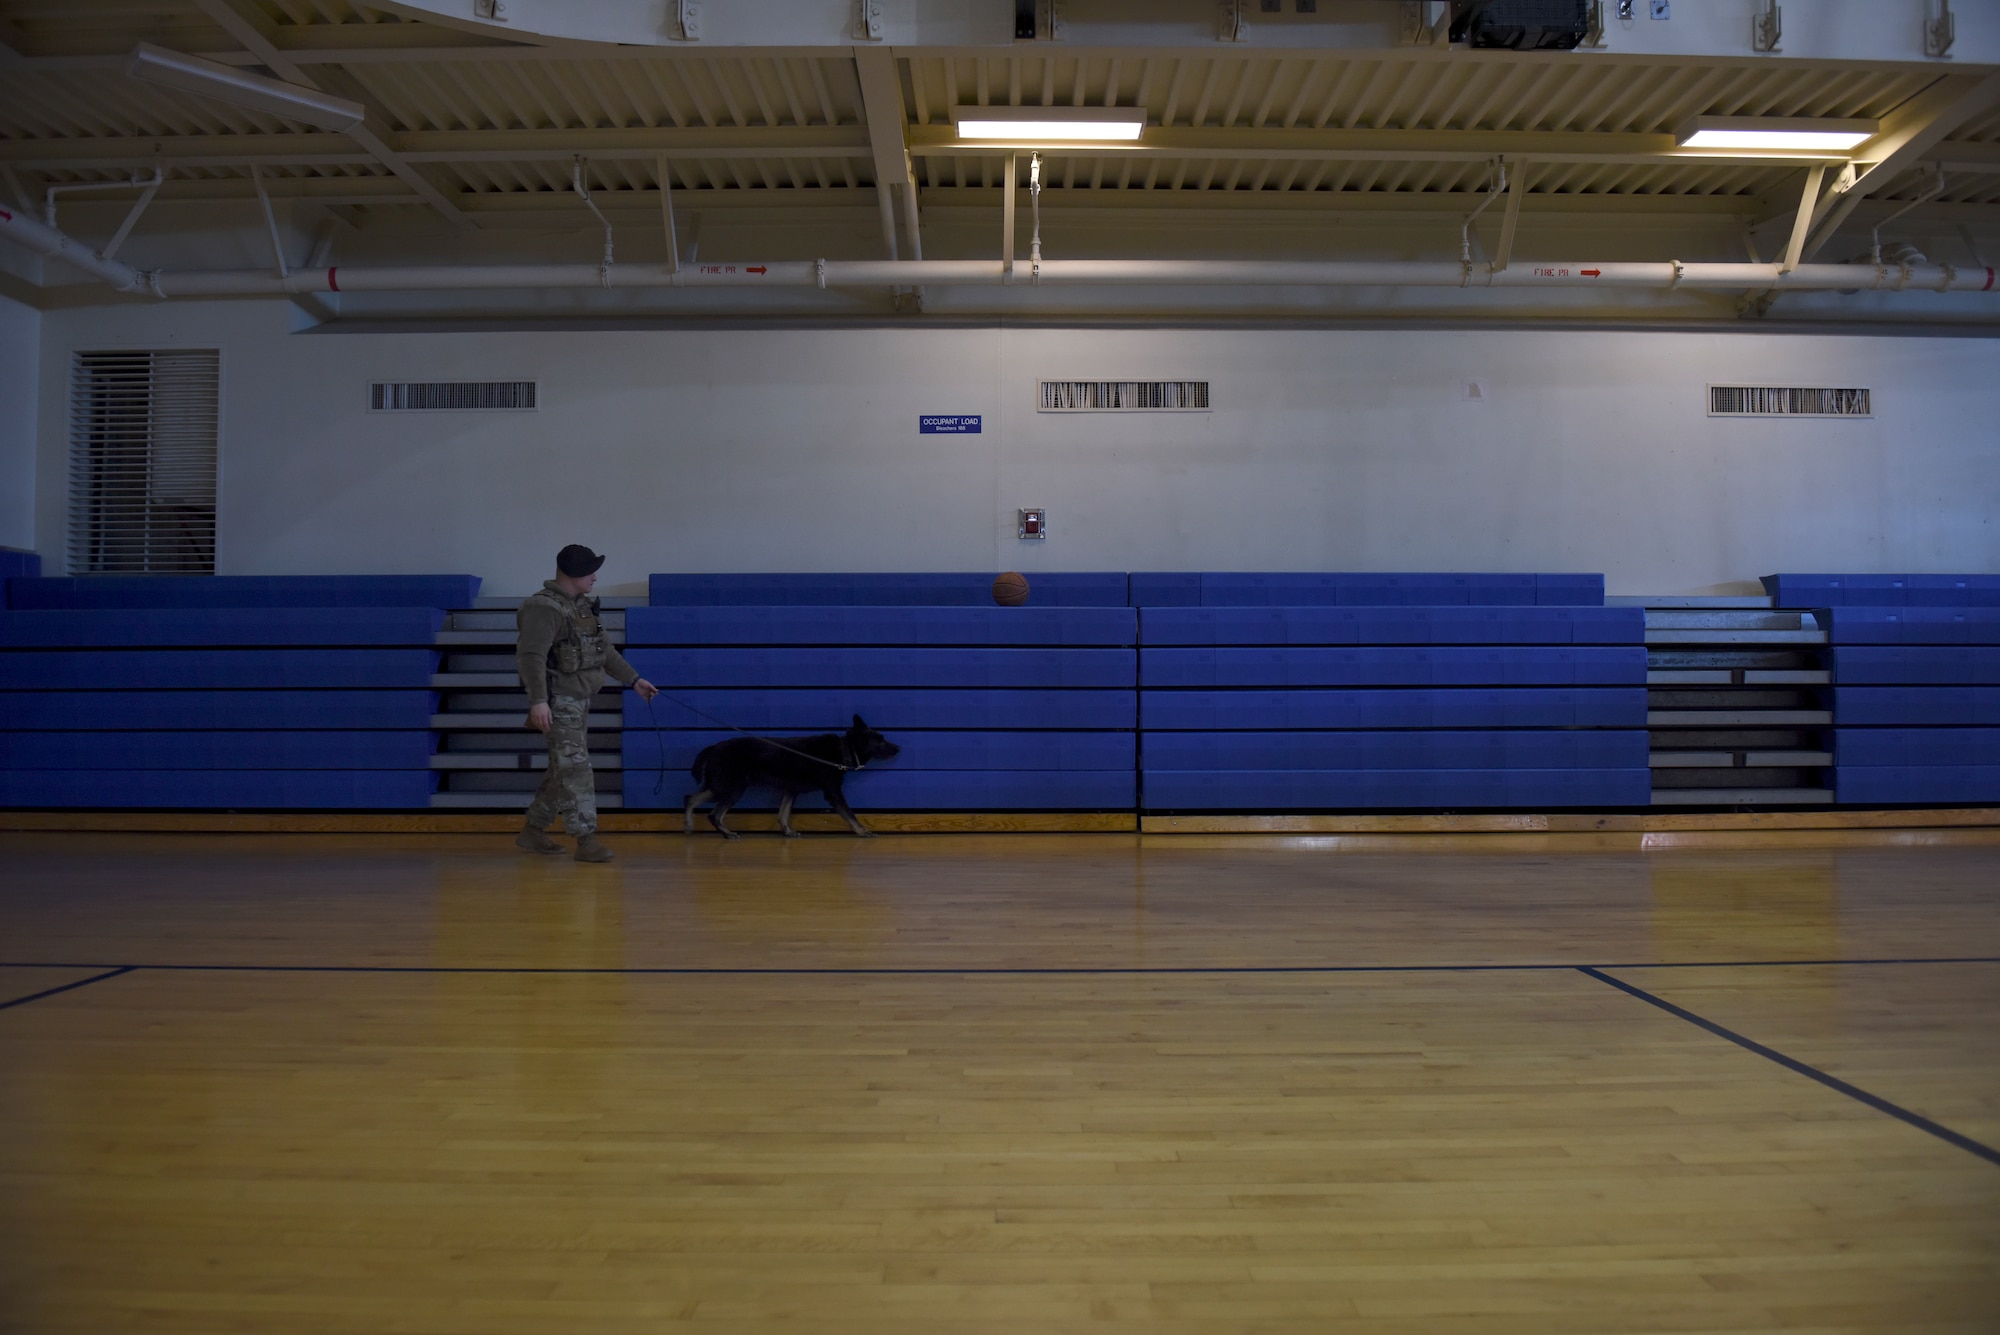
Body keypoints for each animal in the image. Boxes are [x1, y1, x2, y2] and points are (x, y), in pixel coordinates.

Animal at [688, 715, 908, 839]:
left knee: (690, 798)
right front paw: (861, 831)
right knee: (714, 814)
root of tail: (714, 747)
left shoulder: (790, 790)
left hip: (720, 787)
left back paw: (689, 825)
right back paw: (726, 833)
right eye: (880, 740)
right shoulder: (833, 793)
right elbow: (850, 815)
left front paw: (787, 831)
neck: (843, 749)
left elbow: (783, 814)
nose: (899, 748)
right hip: (733, 789)